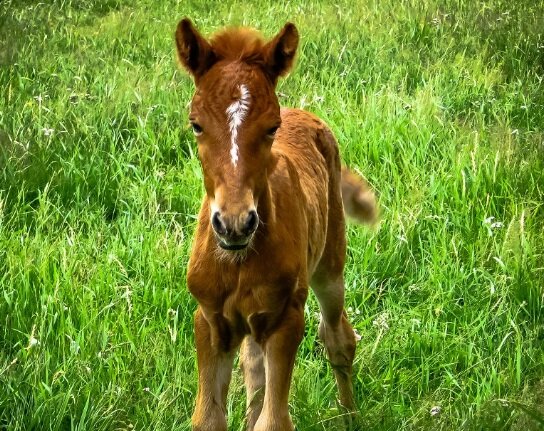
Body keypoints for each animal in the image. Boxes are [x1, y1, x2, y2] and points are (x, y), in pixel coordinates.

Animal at [176, 17, 376, 431]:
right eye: (196, 125)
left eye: (271, 127)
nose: (235, 224)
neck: (238, 260)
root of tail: (306, 113)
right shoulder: (209, 320)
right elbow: (209, 417)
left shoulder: (287, 319)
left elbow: (274, 420)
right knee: (254, 364)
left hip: (330, 265)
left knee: (338, 337)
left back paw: (349, 414)